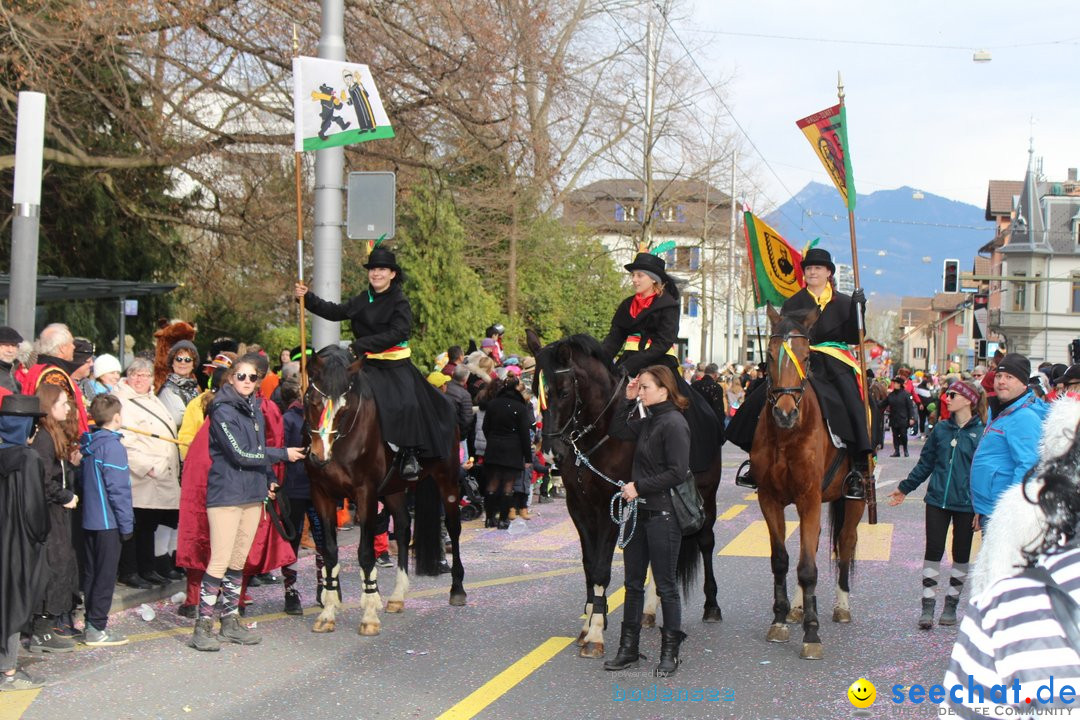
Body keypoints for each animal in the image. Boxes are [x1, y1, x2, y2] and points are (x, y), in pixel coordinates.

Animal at [300, 349, 464, 634]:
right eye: (312, 399)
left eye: (344, 408)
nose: (320, 457)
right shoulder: (321, 493)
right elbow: (330, 552)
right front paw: (328, 613)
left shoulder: (365, 493)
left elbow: (365, 553)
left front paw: (368, 615)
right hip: (393, 489)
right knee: (403, 527)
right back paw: (397, 597)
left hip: (448, 479)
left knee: (453, 528)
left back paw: (457, 590)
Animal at [524, 332, 721, 660]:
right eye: (534, 390)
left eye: (563, 392)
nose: (551, 453)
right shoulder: (579, 508)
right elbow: (589, 565)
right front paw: (590, 620)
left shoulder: (610, 506)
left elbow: (601, 568)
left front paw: (595, 633)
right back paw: (651, 609)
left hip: (707, 498)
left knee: (705, 544)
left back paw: (712, 606)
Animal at [756, 304, 864, 660]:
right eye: (770, 353)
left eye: (806, 356)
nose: (784, 413)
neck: (786, 436)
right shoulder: (769, 499)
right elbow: (782, 561)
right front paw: (780, 620)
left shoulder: (809, 497)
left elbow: (808, 568)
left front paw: (812, 634)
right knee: (814, 545)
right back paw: (799, 607)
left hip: (853, 501)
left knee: (845, 543)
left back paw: (841, 607)